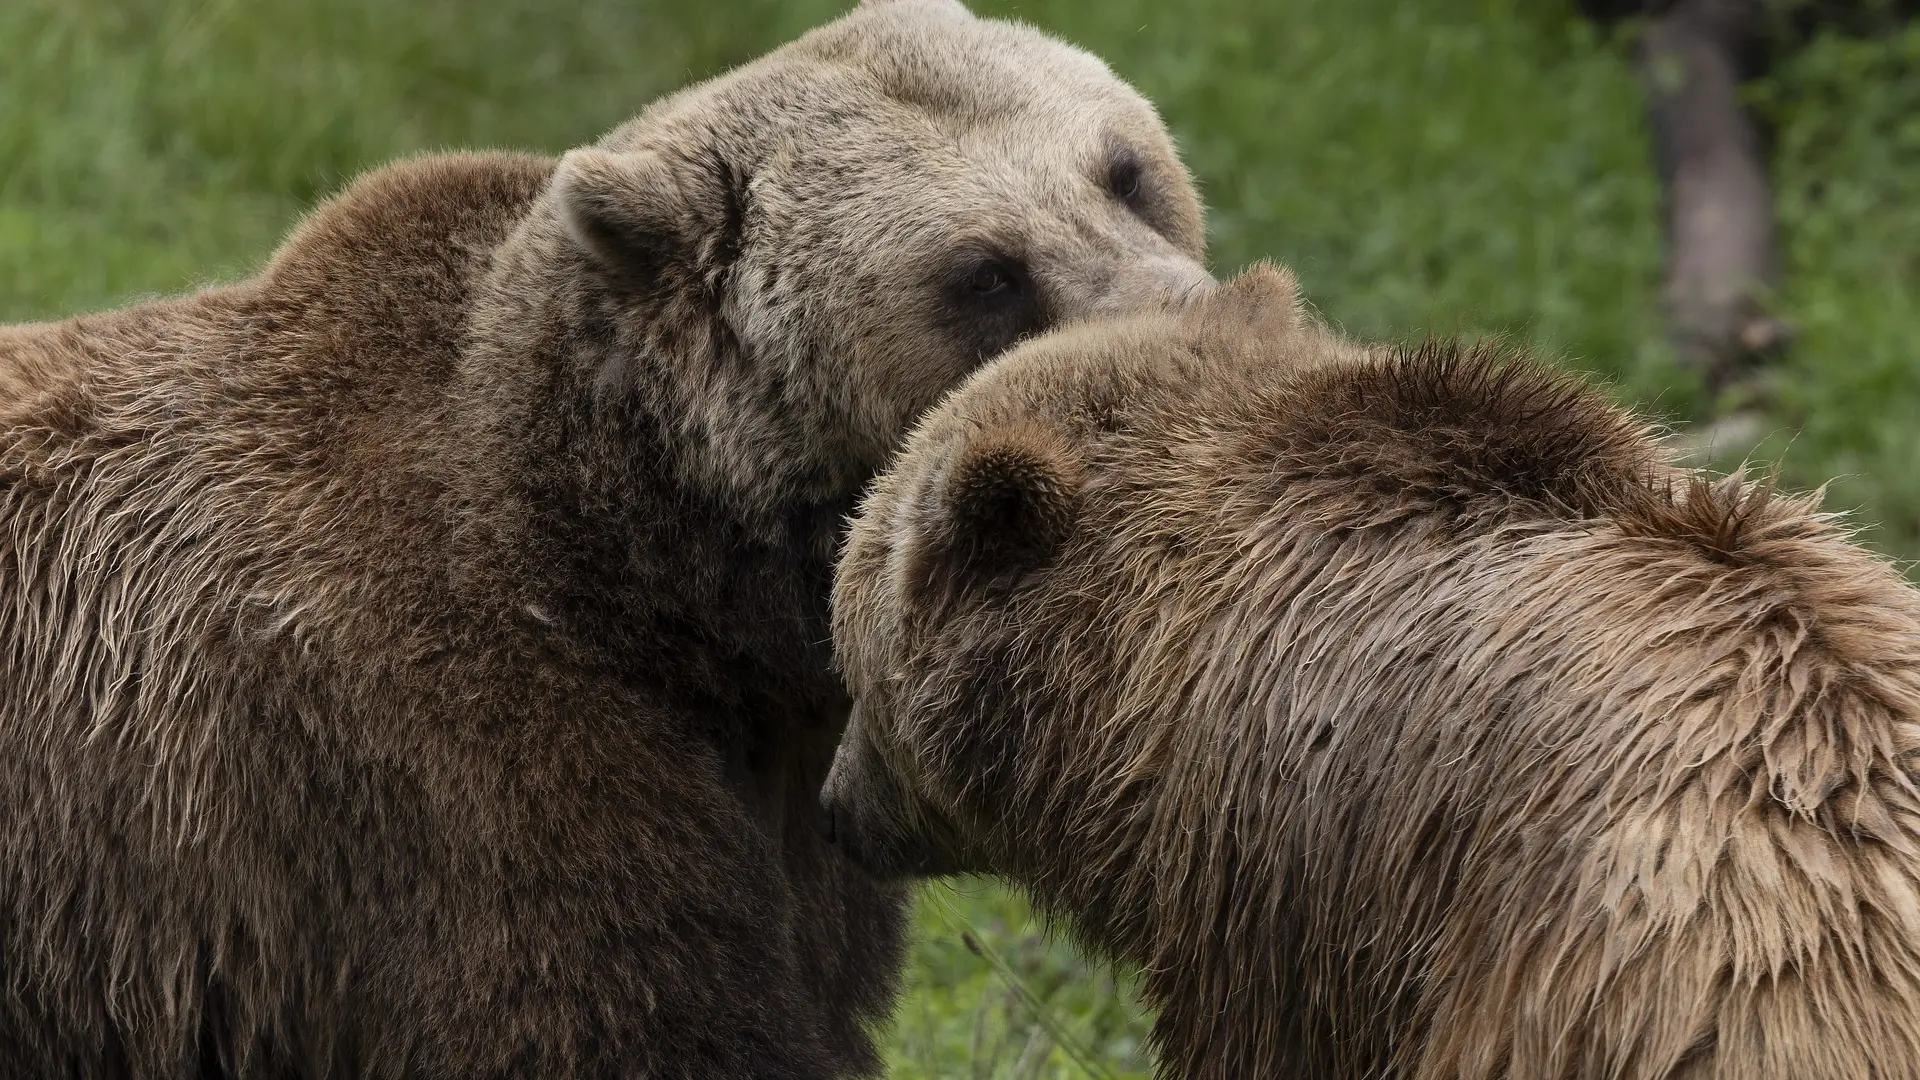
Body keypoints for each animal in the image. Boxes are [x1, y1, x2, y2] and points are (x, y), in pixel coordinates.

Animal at [0, 0, 1212, 1076]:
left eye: (1124, 170)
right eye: (984, 272)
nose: (1188, 317)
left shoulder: (789, 813)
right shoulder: (457, 767)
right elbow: (628, 1016)